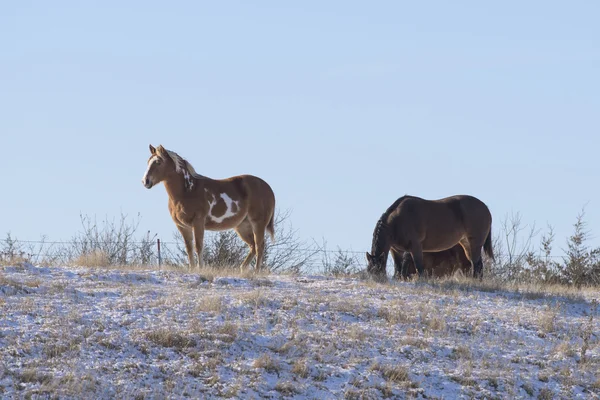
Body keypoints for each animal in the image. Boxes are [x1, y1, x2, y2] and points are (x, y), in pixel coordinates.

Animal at [143, 145, 276, 270]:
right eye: (148, 161)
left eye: (158, 162)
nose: (145, 181)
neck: (187, 191)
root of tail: (268, 188)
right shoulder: (182, 226)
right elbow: (189, 248)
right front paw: (192, 269)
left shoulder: (198, 222)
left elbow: (198, 246)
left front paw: (200, 268)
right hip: (242, 226)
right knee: (253, 246)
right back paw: (243, 269)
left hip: (258, 223)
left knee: (259, 246)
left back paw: (256, 271)